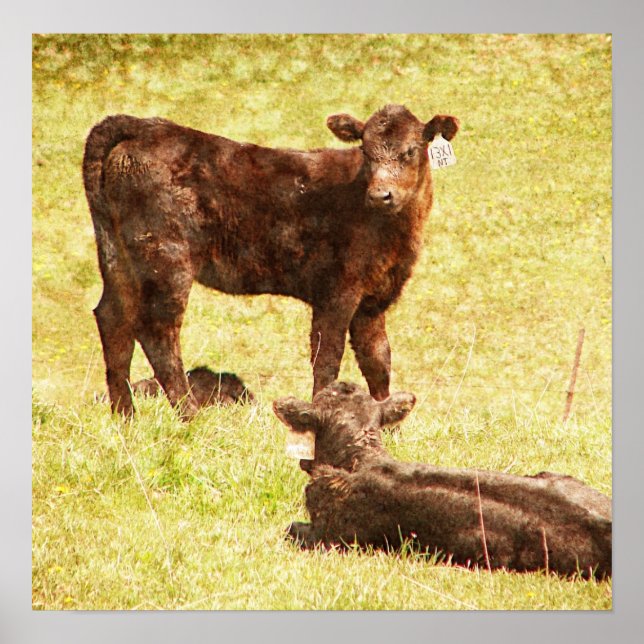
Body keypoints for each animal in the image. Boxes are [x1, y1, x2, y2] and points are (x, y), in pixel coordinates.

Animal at [83, 105, 459, 419]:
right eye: (365, 151)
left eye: (410, 151)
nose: (380, 195)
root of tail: (145, 127)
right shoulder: (337, 290)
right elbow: (327, 357)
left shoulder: (373, 297)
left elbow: (378, 359)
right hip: (166, 259)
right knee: (157, 329)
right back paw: (190, 417)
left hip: (119, 257)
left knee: (113, 318)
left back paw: (125, 417)